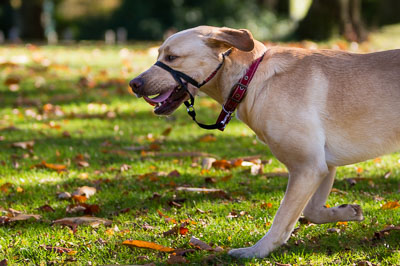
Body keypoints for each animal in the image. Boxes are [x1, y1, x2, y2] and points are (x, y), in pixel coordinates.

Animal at [130, 25, 400, 258]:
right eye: (159, 54)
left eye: (172, 57)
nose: (134, 84)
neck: (250, 79)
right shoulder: (323, 165)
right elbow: (312, 211)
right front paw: (346, 212)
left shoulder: (307, 168)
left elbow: (282, 221)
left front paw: (256, 251)